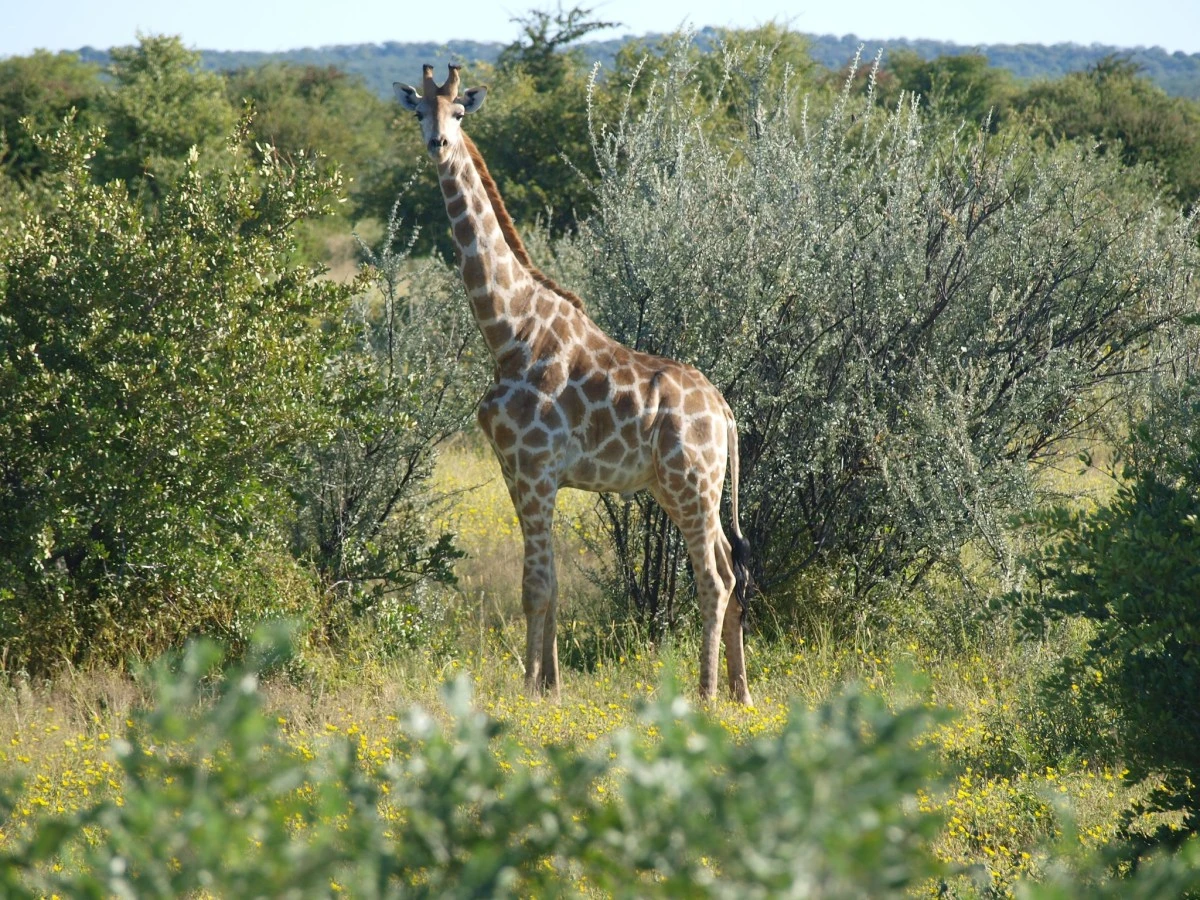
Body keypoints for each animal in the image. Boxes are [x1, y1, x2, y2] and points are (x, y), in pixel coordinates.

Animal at [398, 66, 753, 710]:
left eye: (458, 113)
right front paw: (549, 684)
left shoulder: (535, 468)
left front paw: (532, 689)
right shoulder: (520, 472)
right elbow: (550, 584)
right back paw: (743, 694)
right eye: (419, 112)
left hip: (690, 484)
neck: (508, 331)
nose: (437, 145)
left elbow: (535, 586)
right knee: (732, 569)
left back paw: (707, 694)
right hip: (691, 489)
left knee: (713, 579)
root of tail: (726, 411)